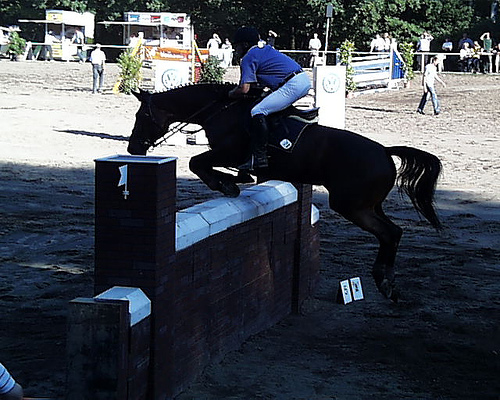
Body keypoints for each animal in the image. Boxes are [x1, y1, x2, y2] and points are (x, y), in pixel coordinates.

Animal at [127, 83, 442, 301]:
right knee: (394, 232)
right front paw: (233, 180)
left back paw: (384, 283)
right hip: (368, 205)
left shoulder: (227, 152)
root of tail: (385, 152)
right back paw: (388, 283)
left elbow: (197, 162)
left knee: (388, 233)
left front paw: (226, 184)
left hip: (352, 206)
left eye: (141, 116)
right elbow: (211, 166)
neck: (221, 111)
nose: (133, 149)